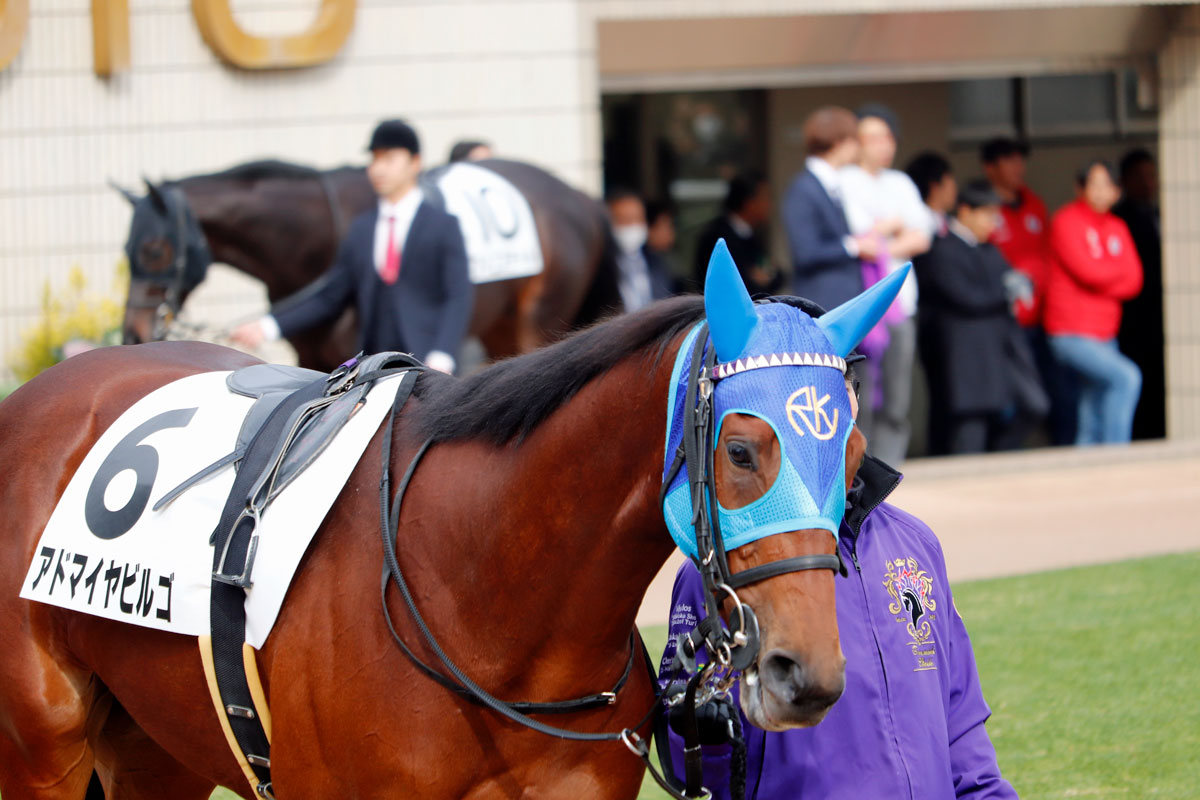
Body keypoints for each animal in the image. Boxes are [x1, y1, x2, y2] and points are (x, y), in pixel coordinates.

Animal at [114, 159, 621, 371]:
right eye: (126, 249)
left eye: (154, 249)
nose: (133, 335)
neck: (320, 236)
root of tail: (580, 198)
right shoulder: (312, 356)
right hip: (500, 323)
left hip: (541, 316)